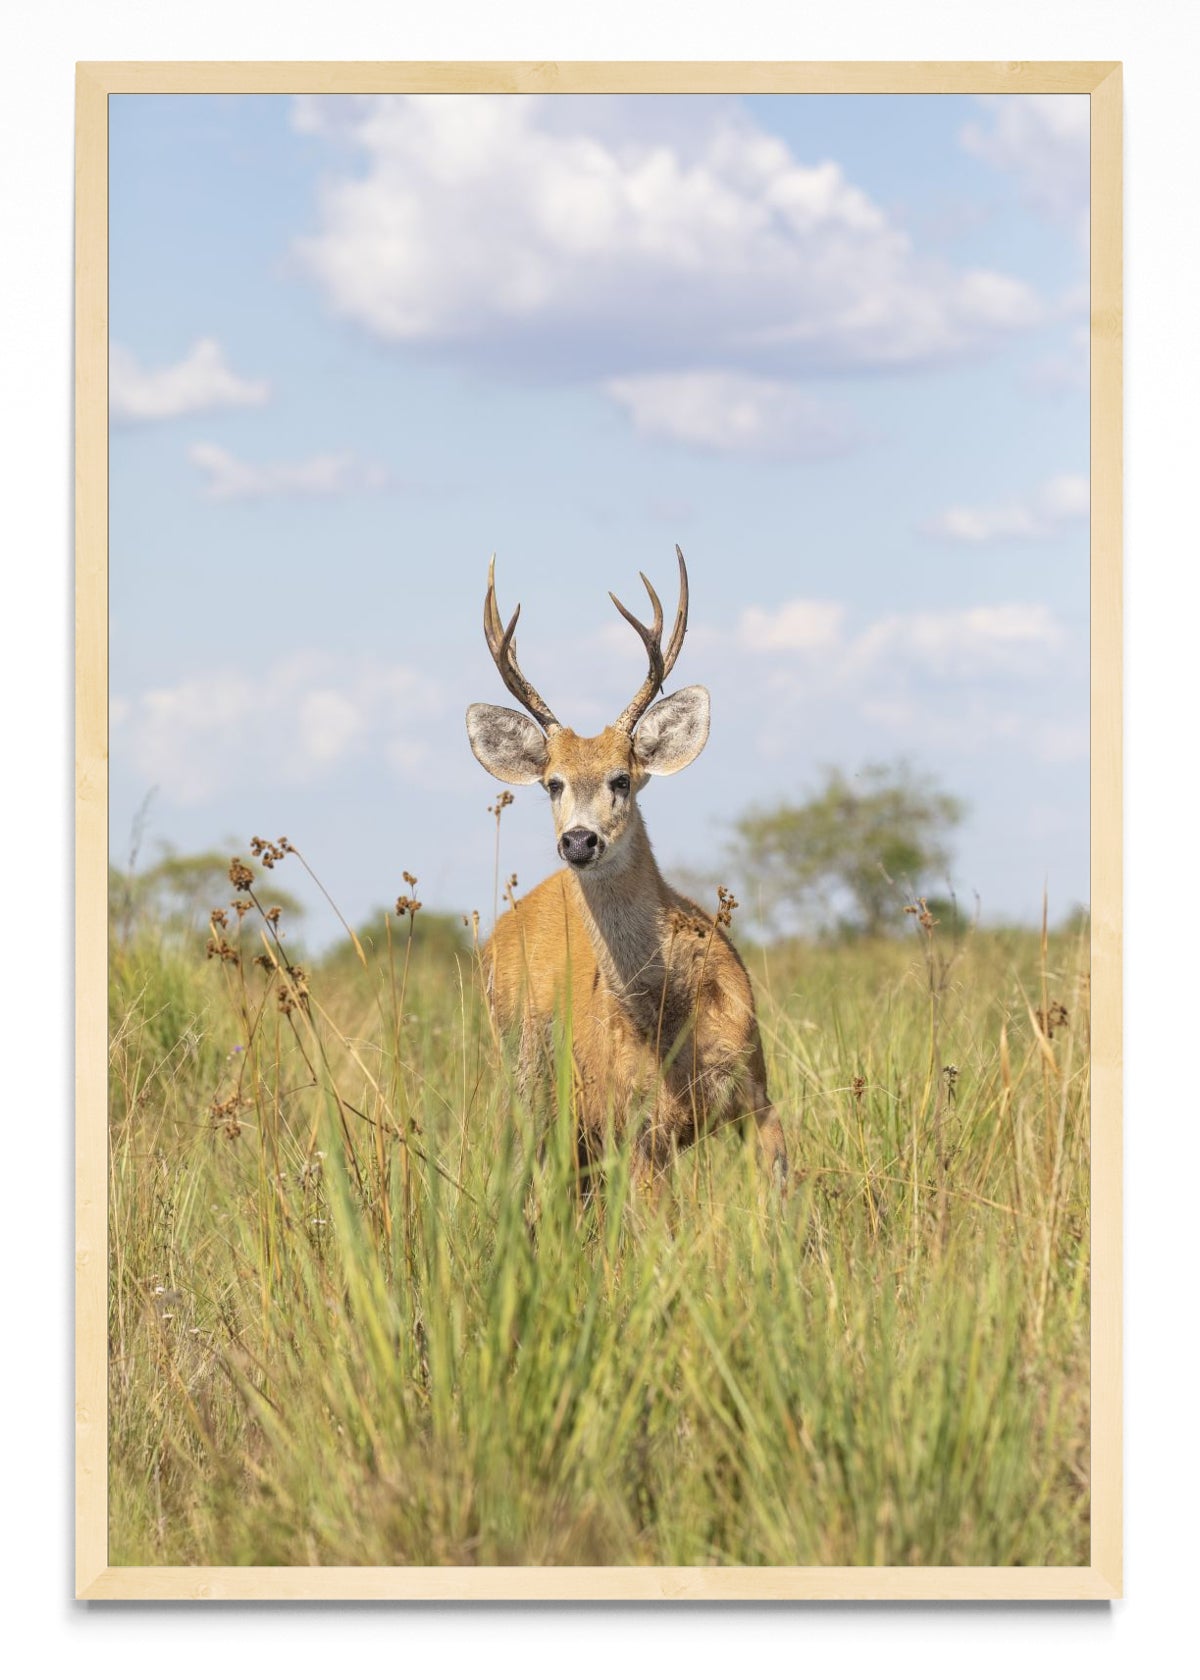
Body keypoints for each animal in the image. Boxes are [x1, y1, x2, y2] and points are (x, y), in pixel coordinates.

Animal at [466, 546, 788, 1198]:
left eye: (622, 778)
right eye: (552, 783)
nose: (579, 840)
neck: (669, 1017)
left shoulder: (757, 1090)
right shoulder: (634, 1127)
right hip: (524, 1084)